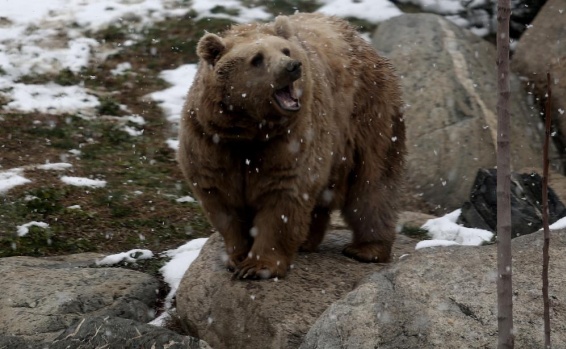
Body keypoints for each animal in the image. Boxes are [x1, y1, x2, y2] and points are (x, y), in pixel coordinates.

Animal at [180, 13, 406, 278]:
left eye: (285, 50)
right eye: (257, 58)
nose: (292, 66)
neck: (250, 130)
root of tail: (362, 40)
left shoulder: (291, 138)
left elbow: (284, 197)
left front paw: (258, 266)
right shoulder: (210, 140)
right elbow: (222, 200)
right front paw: (237, 257)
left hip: (368, 114)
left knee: (373, 181)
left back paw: (367, 249)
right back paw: (307, 240)